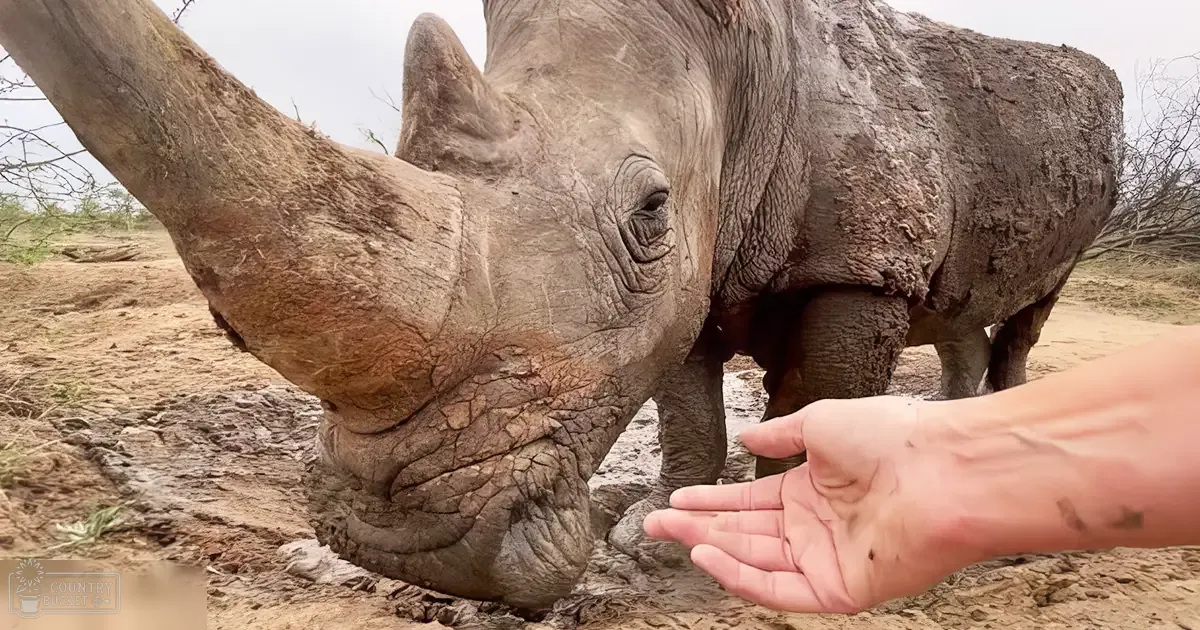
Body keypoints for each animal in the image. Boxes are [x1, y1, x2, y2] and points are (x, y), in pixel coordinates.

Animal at [0, 0, 1121, 609]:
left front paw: (767, 547)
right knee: (970, 314)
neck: (743, 64)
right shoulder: (695, 272)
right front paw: (658, 532)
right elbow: (687, 402)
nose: (414, 553)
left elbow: (813, 401)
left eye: (650, 212)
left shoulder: (861, 259)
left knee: (1032, 311)